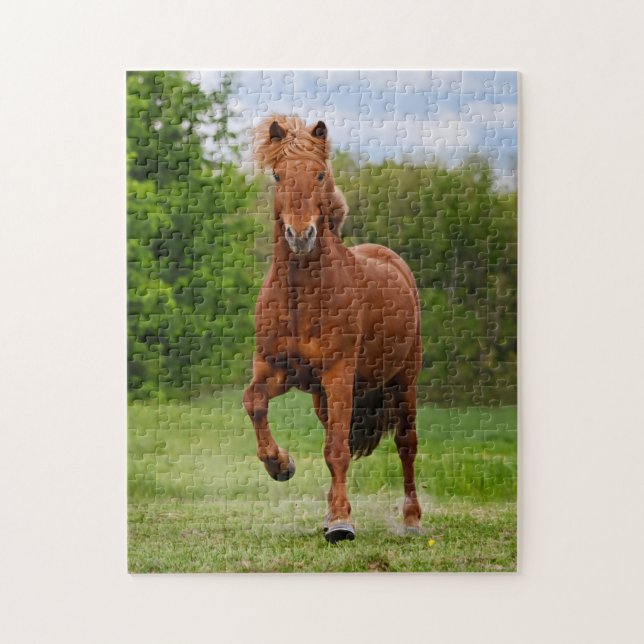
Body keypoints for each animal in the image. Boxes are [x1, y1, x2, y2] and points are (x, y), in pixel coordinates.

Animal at [243, 116, 422, 542]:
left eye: (320, 174)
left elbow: (338, 450)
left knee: (405, 444)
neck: (300, 297)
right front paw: (280, 465)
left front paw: (342, 524)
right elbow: (253, 402)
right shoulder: (277, 371)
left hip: (404, 382)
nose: (300, 235)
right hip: (323, 398)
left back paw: (411, 519)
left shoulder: (338, 374)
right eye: (277, 175)